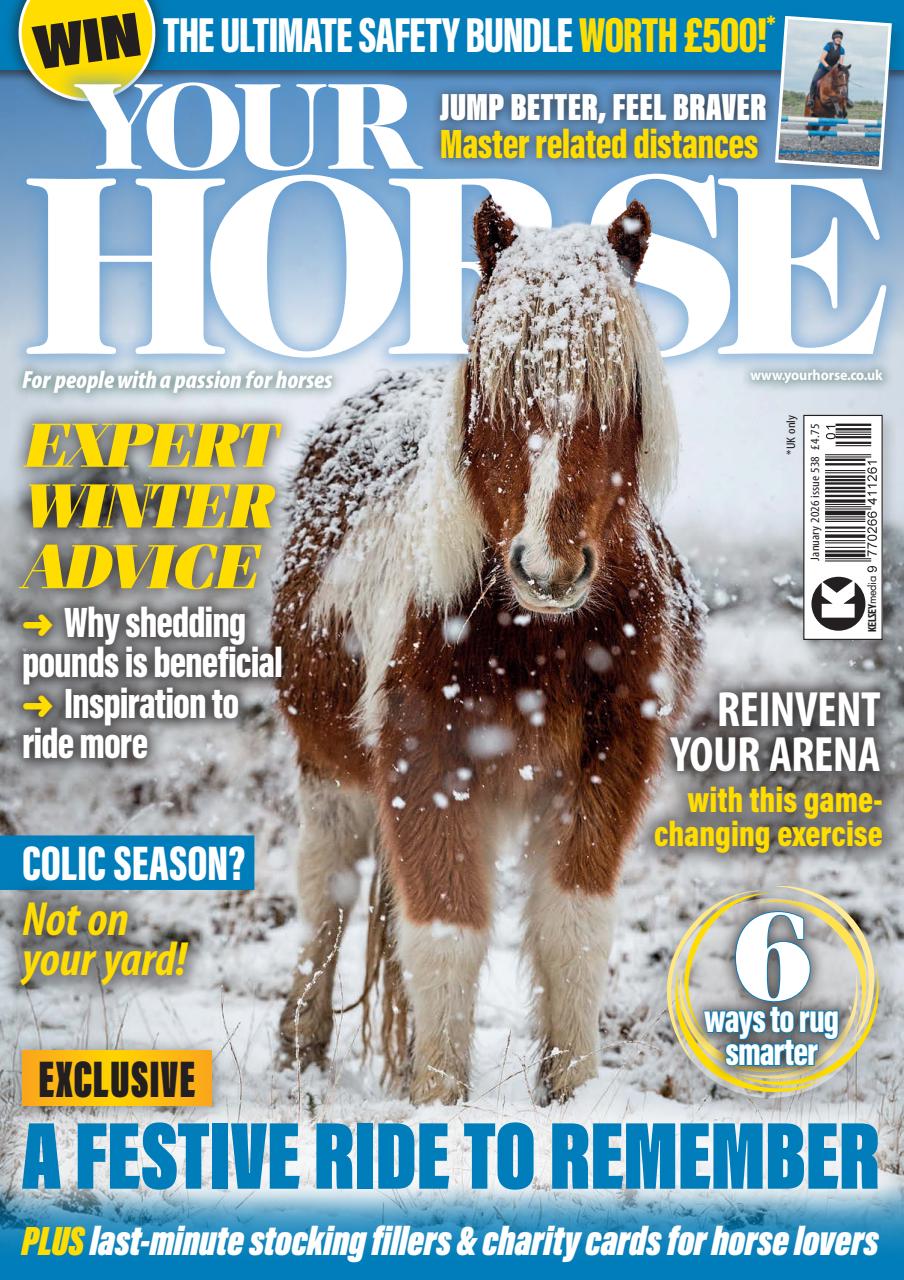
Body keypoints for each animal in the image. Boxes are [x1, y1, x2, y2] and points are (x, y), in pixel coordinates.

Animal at [272, 197, 705, 1105]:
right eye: (495, 384)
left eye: (623, 389)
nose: (549, 568)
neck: (533, 640)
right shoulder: (423, 767)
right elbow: (446, 932)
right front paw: (439, 1102)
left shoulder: (612, 764)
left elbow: (572, 928)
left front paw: (571, 1095)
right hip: (330, 769)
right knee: (327, 888)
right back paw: (300, 1047)